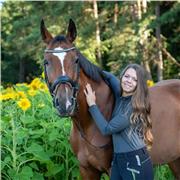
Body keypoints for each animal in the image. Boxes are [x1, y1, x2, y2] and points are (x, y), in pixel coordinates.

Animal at [40, 19, 180, 179]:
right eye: (46, 62)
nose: (65, 103)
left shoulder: (112, 169)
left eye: (76, 60)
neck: (87, 125)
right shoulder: (86, 169)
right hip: (175, 159)